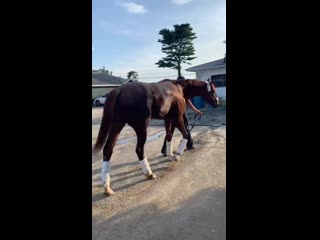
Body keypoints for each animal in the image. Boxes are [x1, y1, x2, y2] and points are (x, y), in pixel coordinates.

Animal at [91, 79, 219, 196]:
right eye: (213, 91)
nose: (217, 103)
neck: (178, 89)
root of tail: (119, 90)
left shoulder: (168, 119)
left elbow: (169, 136)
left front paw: (169, 155)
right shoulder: (178, 118)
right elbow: (185, 135)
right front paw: (177, 155)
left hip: (117, 125)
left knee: (108, 149)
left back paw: (107, 186)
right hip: (141, 127)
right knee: (139, 149)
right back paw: (149, 173)